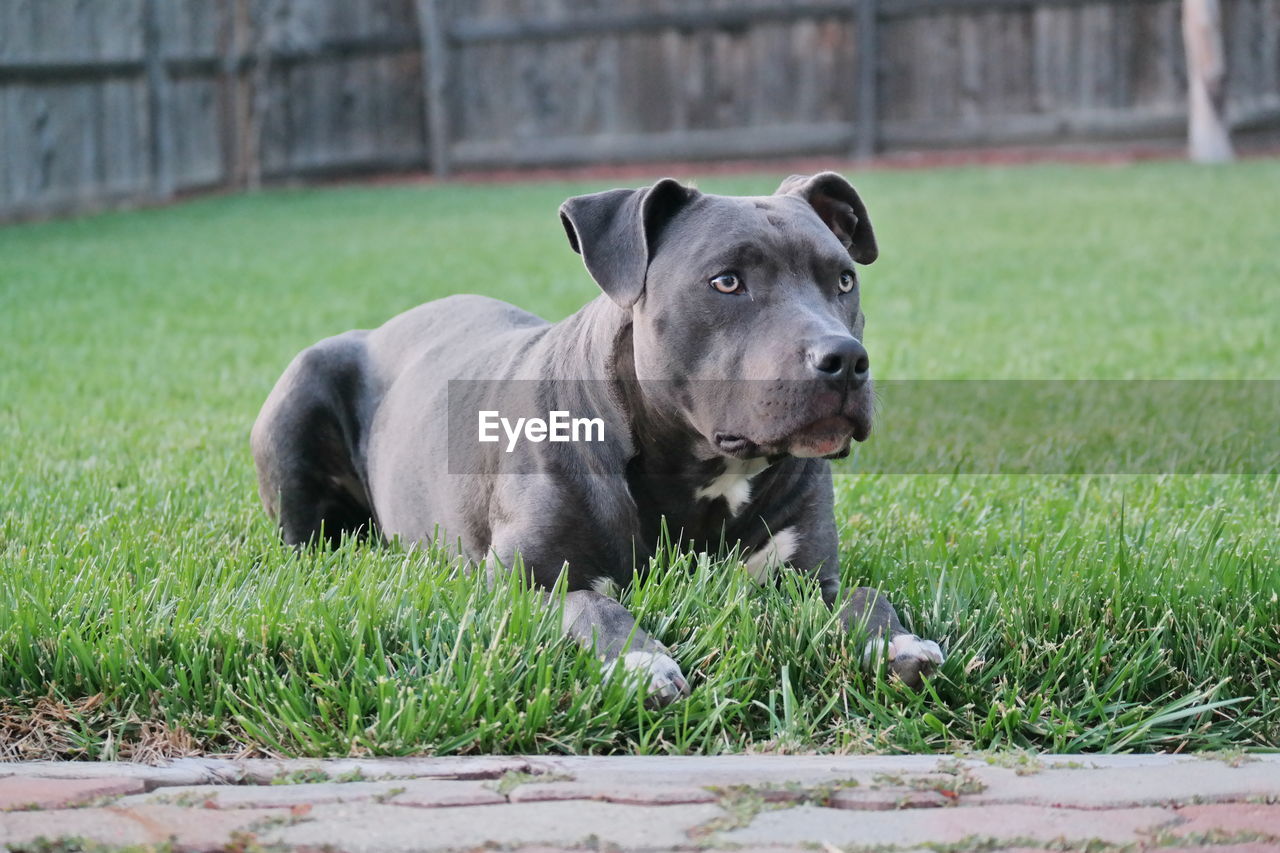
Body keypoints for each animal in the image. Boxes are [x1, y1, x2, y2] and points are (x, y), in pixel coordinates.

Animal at [254, 169, 947, 701]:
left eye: (844, 280)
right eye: (726, 281)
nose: (845, 358)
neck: (693, 475)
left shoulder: (806, 579)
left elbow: (865, 593)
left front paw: (897, 640)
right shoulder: (518, 583)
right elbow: (592, 605)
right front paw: (642, 661)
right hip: (300, 389)